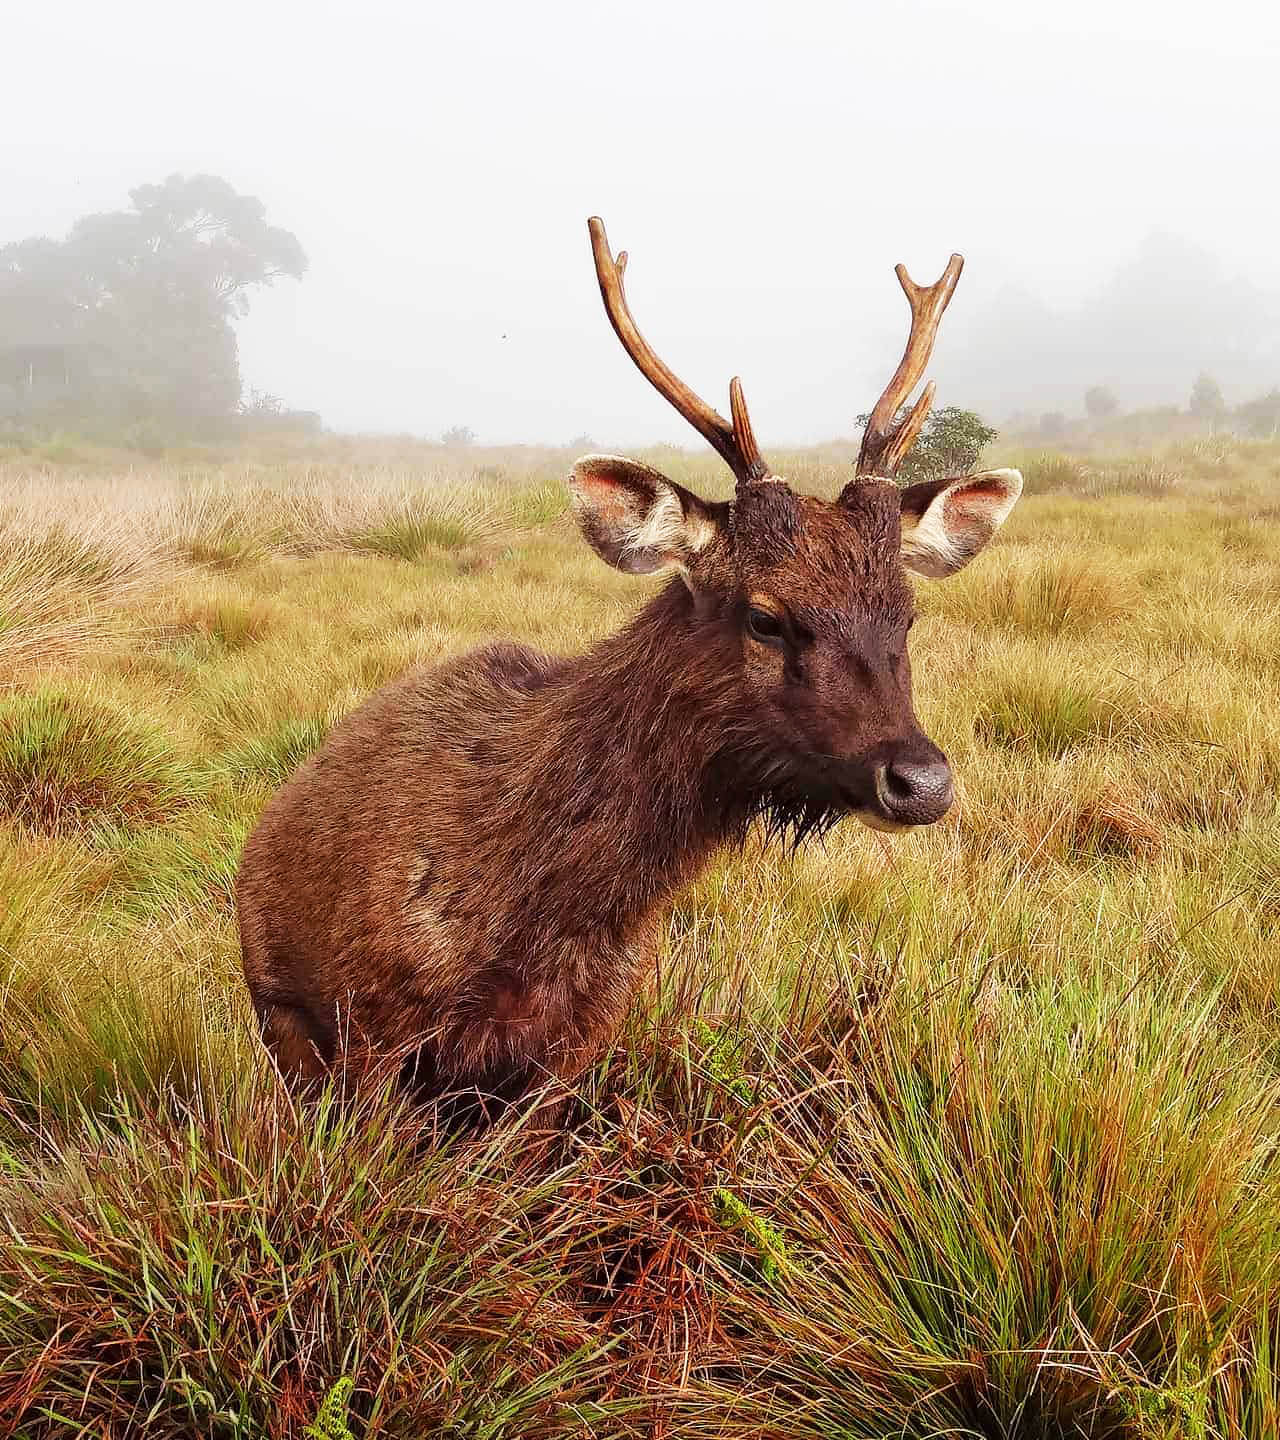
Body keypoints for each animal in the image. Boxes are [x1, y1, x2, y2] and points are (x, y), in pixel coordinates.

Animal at [234, 213, 1025, 1117]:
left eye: (908, 613)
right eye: (764, 616)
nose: (920, 780)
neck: (544, 912)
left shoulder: (579, 1039)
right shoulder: (367, 1024)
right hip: (278, 1016)